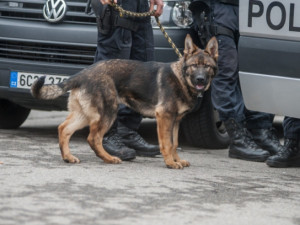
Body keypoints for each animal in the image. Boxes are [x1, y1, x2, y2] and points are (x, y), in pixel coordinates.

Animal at [31, 35, 218, 169]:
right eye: (194, 65)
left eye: (206, 66)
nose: (200, 79)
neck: (182, 78)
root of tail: (82, 73)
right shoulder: (164, 117)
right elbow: (167, 143)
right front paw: (170, 163)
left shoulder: (176, 121)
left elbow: (175, 143)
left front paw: (177, 160)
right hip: (108, 112)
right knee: (93, 138)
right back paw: (108, 158)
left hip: (85, 114)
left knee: (64, 129)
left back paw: (68, 157)